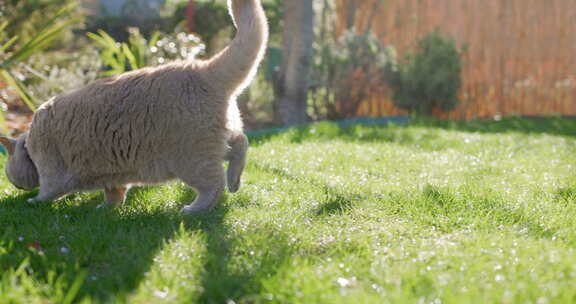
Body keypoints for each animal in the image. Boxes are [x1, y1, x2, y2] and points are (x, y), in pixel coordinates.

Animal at [0, 0, 270, 214]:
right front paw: (105, 210)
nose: (14, 185)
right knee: (242, 143)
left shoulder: (52, 173)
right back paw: (235, 181)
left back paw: (194, 209)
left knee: (214, 186)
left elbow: (47, 193)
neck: (30, 143)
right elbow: (114, 193)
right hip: (218, 141)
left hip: (192, 160)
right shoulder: (113, 179)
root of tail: (205, 69)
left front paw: (32, 202)